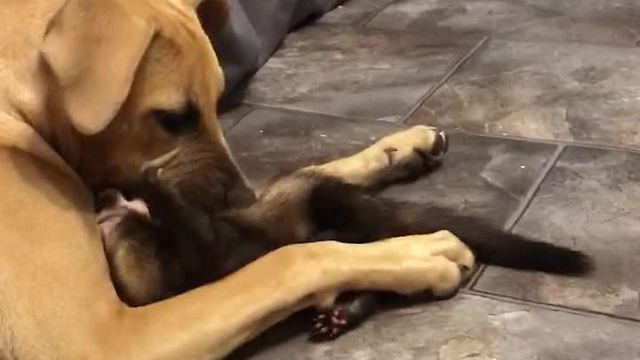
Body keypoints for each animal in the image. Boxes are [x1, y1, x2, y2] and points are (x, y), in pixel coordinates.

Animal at [0, 1, 504, 358]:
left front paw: (398, 148)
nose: (238, 202)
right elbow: (298, 258)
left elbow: (303, 176)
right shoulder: (101, 339)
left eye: (217, 101)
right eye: (171, 118)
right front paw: (415, 253)